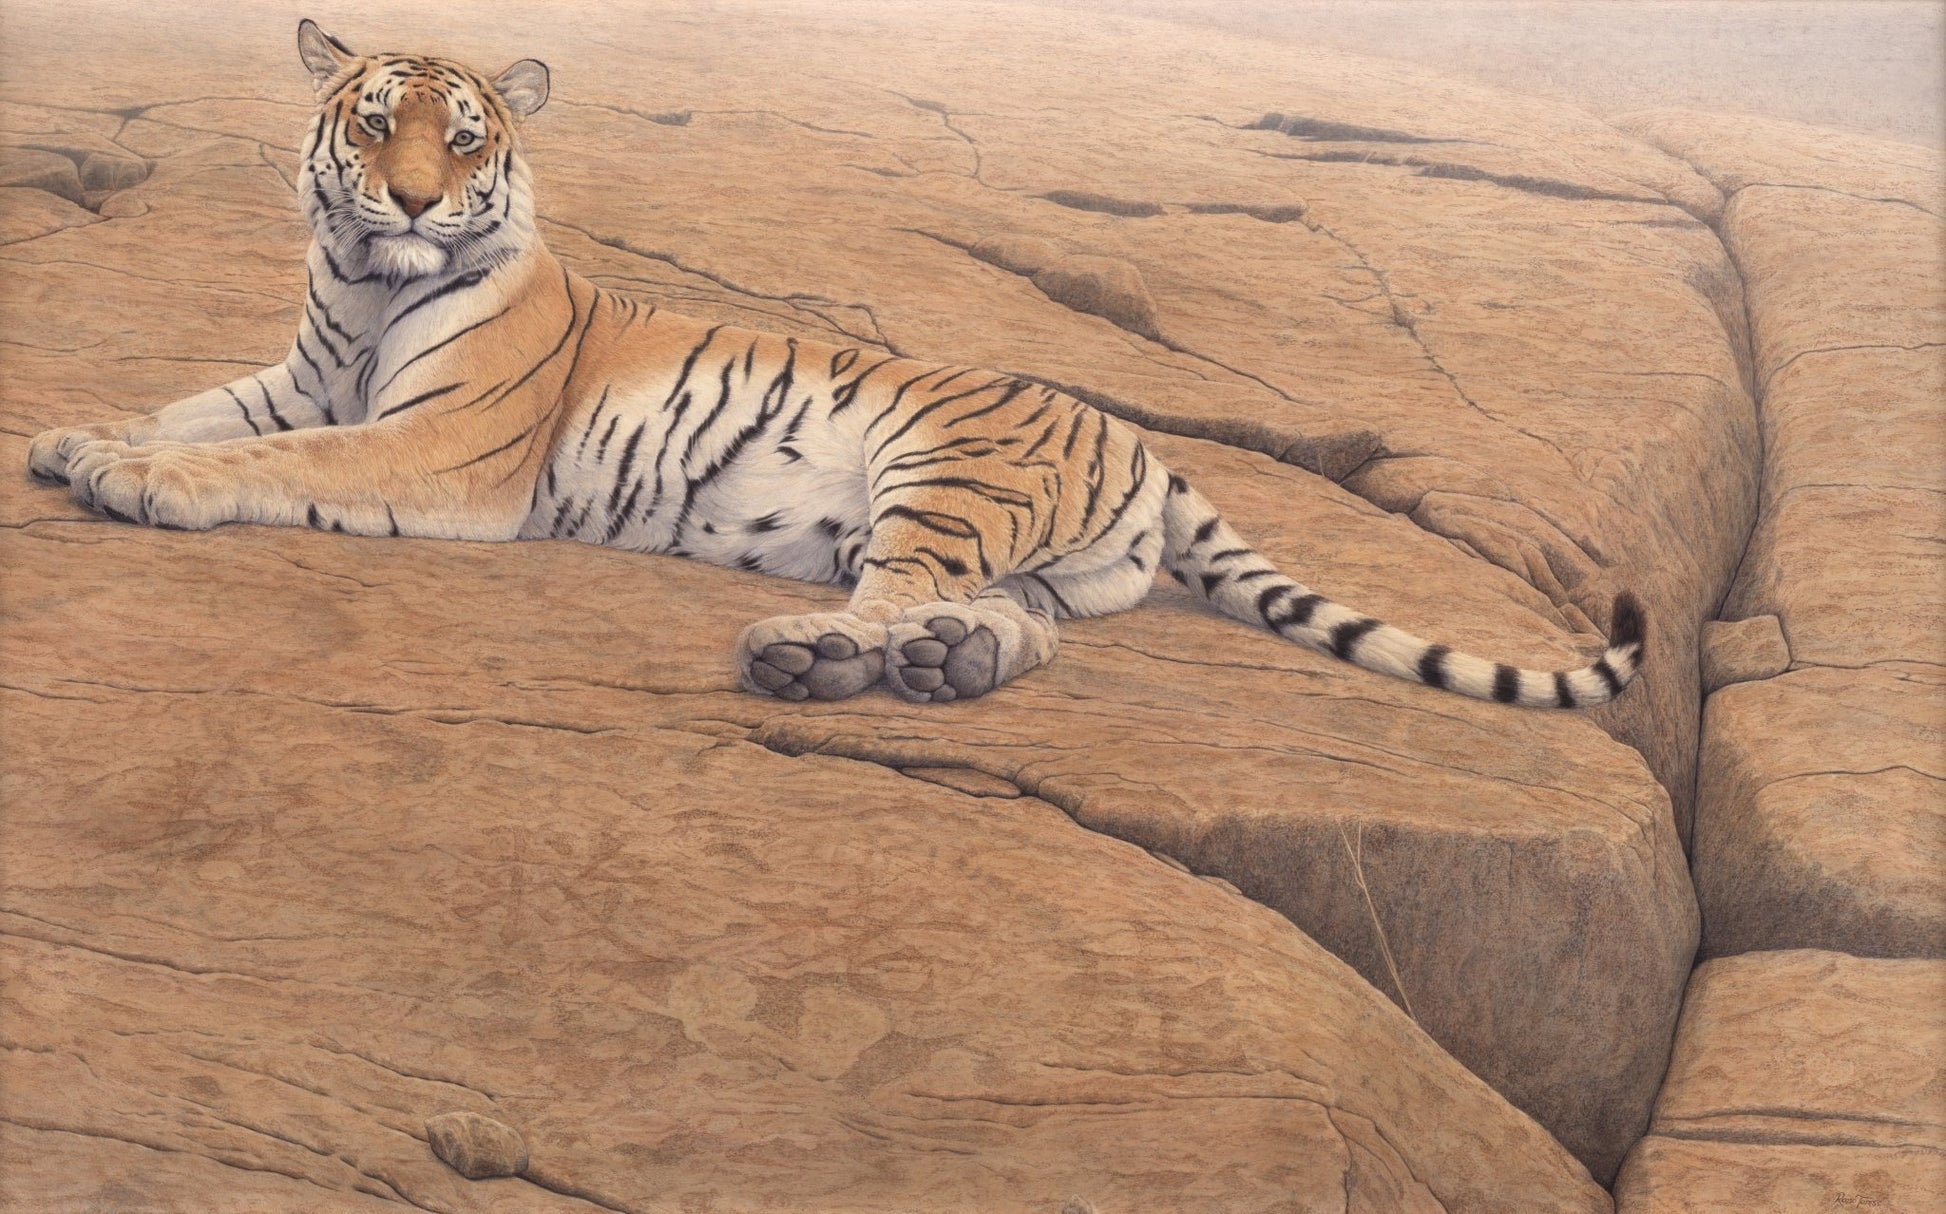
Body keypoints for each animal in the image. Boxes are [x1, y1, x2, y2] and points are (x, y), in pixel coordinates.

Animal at [26, 20, 1647, 709]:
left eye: (467, 139)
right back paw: (932, 664)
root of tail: (1141, 439)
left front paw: (136, 477)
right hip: (1041, 563)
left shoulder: (433, 449)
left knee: (897, 593)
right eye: (376, 124)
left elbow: (270, 457)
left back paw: (808, 658)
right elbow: (204, 403)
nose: (418, 201)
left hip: (941, 479)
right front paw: (75, 435)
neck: (368, 286)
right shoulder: (302, 372)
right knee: (1008, 625)